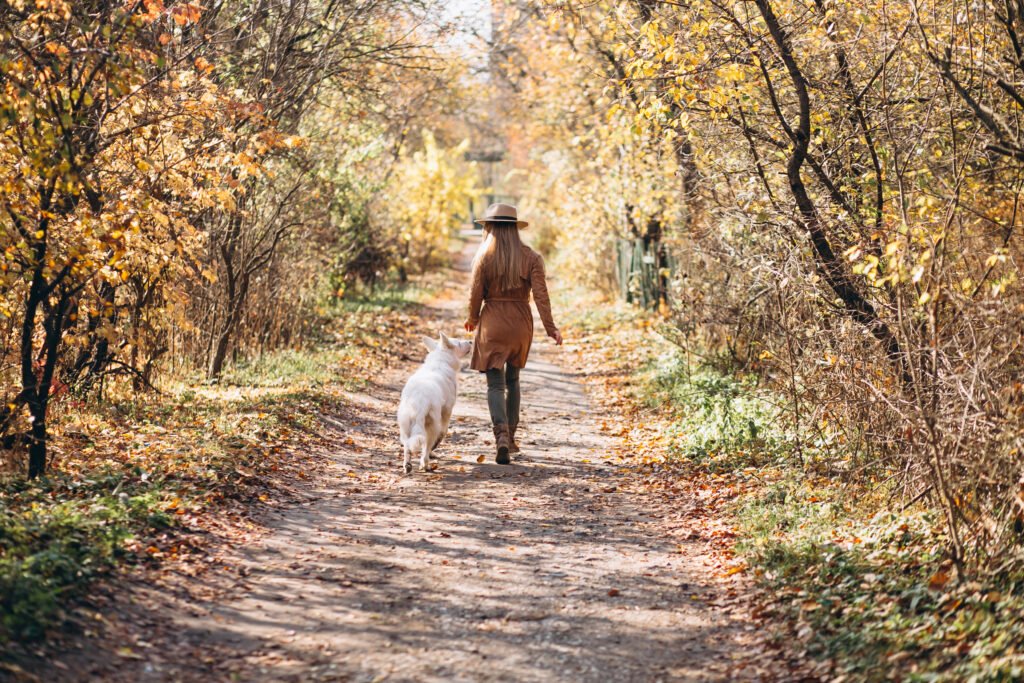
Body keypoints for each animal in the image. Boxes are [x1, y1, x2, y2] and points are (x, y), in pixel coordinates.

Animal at [397, 331, 473, 473]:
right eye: (459, 342)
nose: (471, 341)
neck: (441, 359)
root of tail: (419, 403)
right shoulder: (447, 411)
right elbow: (443, 432)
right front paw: (434, 449)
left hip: (405, 425)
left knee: (407, 447)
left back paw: (407, 465)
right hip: (431, 424)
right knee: (426, 446)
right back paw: (425, 464)